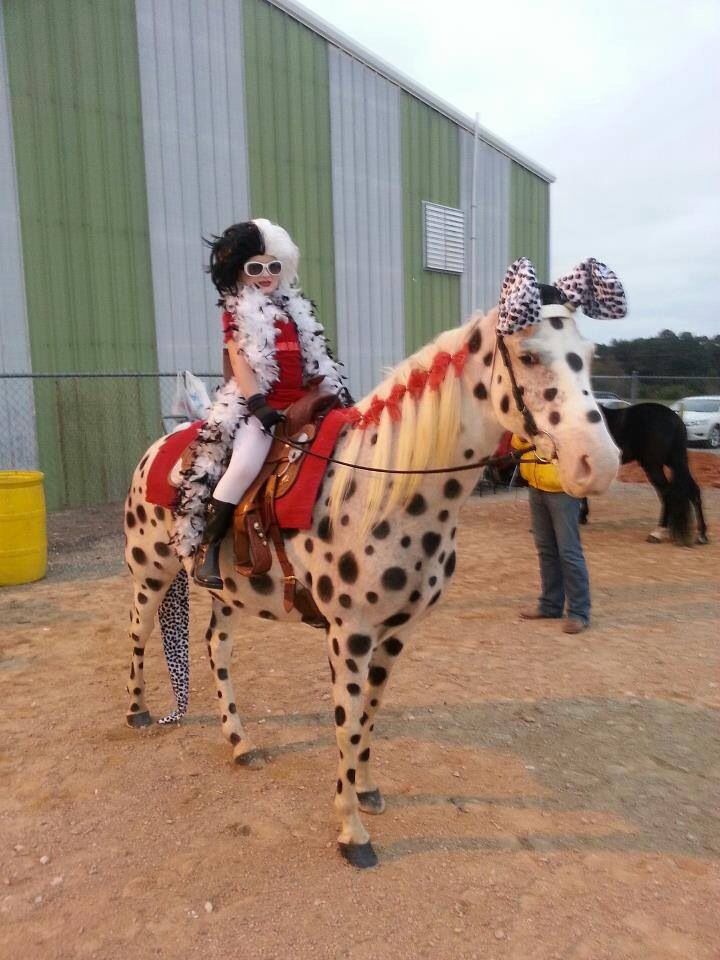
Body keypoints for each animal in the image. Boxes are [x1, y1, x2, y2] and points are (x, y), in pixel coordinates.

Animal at [122, 258, 624, 868]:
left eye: (588, 355)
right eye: (529, 355)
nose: (599, 462)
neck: (381, 485)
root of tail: (166, 441)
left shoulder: (395, 633)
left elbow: (369, 716)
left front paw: (364, 790)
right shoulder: (350, 635)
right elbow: (345, 723)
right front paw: (352, 833)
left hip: (228, 592)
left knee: (217, 648)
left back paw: (239, 743)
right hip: (151, 574)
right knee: (139, 633)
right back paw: (137, 712)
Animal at [580, 402, 708, 544]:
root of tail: (676, 420)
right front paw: (582, 517)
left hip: (653, 465)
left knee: (667, 493)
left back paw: (657, 533)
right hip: (676, 462)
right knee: (693, 491)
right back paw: (701, 535)